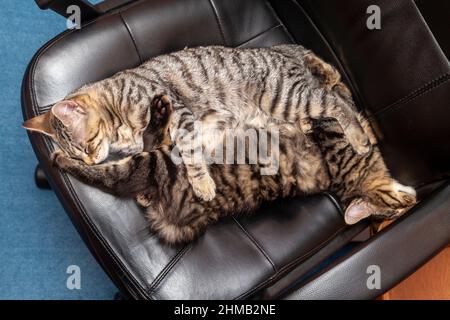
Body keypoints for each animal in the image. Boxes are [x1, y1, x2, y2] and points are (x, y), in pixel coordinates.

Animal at [22, 44, 370, 202]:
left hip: (285, 97)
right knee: (329, 96)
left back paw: (360, 138)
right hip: (289, 108)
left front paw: (202, 184)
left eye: (88, 144)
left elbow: (189, 154)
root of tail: (278, 51)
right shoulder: (159, 139)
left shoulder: (179, 114)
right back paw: (313, 123)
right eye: (80, 153)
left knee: (337, 101)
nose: (92, 160)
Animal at [51, 95, 416, 245]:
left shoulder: (332, 140)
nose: (412, 202)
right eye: (396, 208)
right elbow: (342, 117)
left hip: (159, 163)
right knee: (146, 141)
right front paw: (367, 128)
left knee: (113, 173)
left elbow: (335, 119)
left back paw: (63, 160)